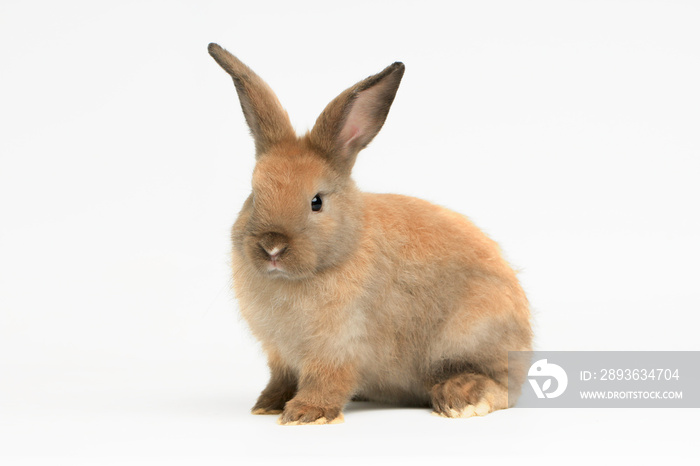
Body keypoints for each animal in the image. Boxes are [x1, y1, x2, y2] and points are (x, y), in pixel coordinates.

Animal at [206, 43, 532, 426]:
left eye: (316, 202)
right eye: (254, 195)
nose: (272, 247)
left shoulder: (339, 346)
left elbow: (327, 380)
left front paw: (306, 414)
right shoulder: (280, 355)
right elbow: (280, 378)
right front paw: (268, 404)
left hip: (471, 335)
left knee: (500, 385)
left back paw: (461, 398)